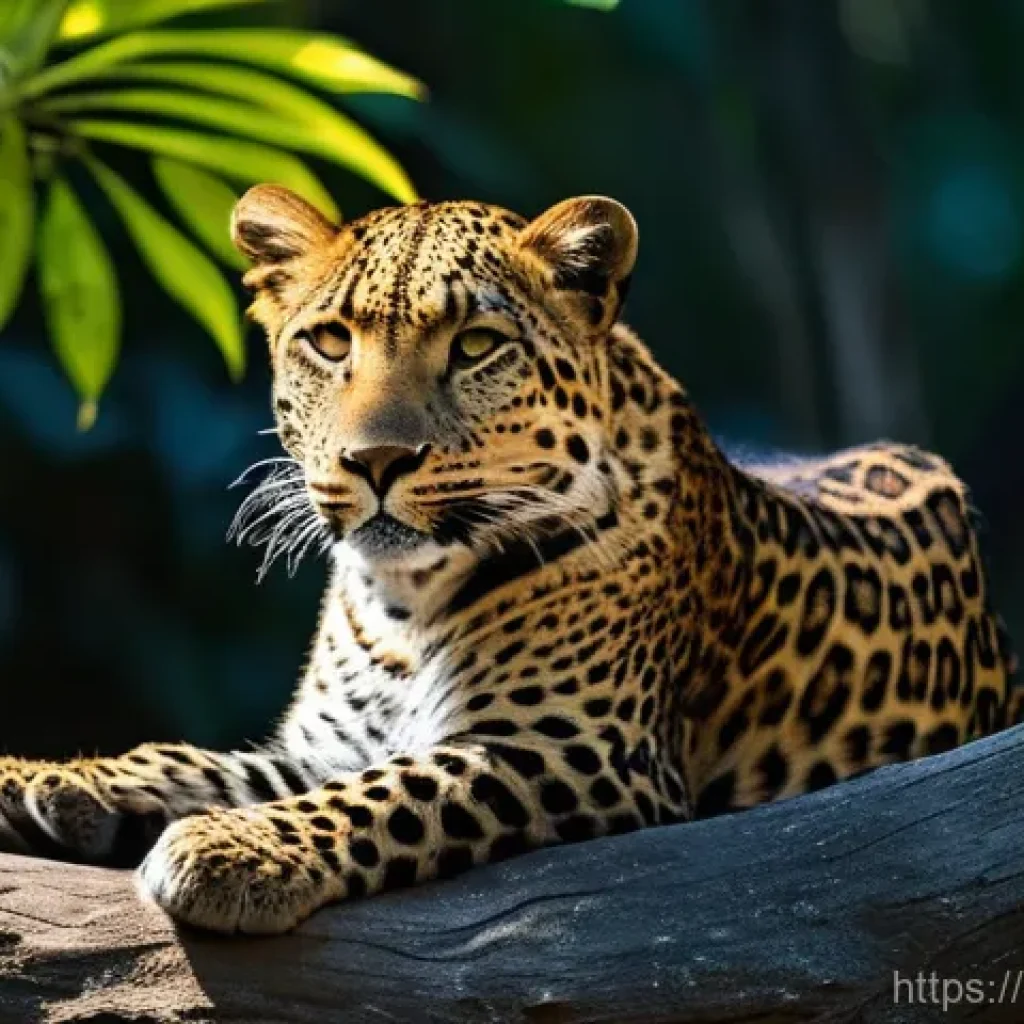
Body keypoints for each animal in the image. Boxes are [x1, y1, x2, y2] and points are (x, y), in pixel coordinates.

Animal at [1, 185, 1018, 935]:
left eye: (476, 346)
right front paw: (42, 778)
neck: (402, 600)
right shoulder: (323, 746)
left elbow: (384, 794)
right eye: (330, 342)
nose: (375, 461)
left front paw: (234, 851)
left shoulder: (575, 747)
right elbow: (197, 758)